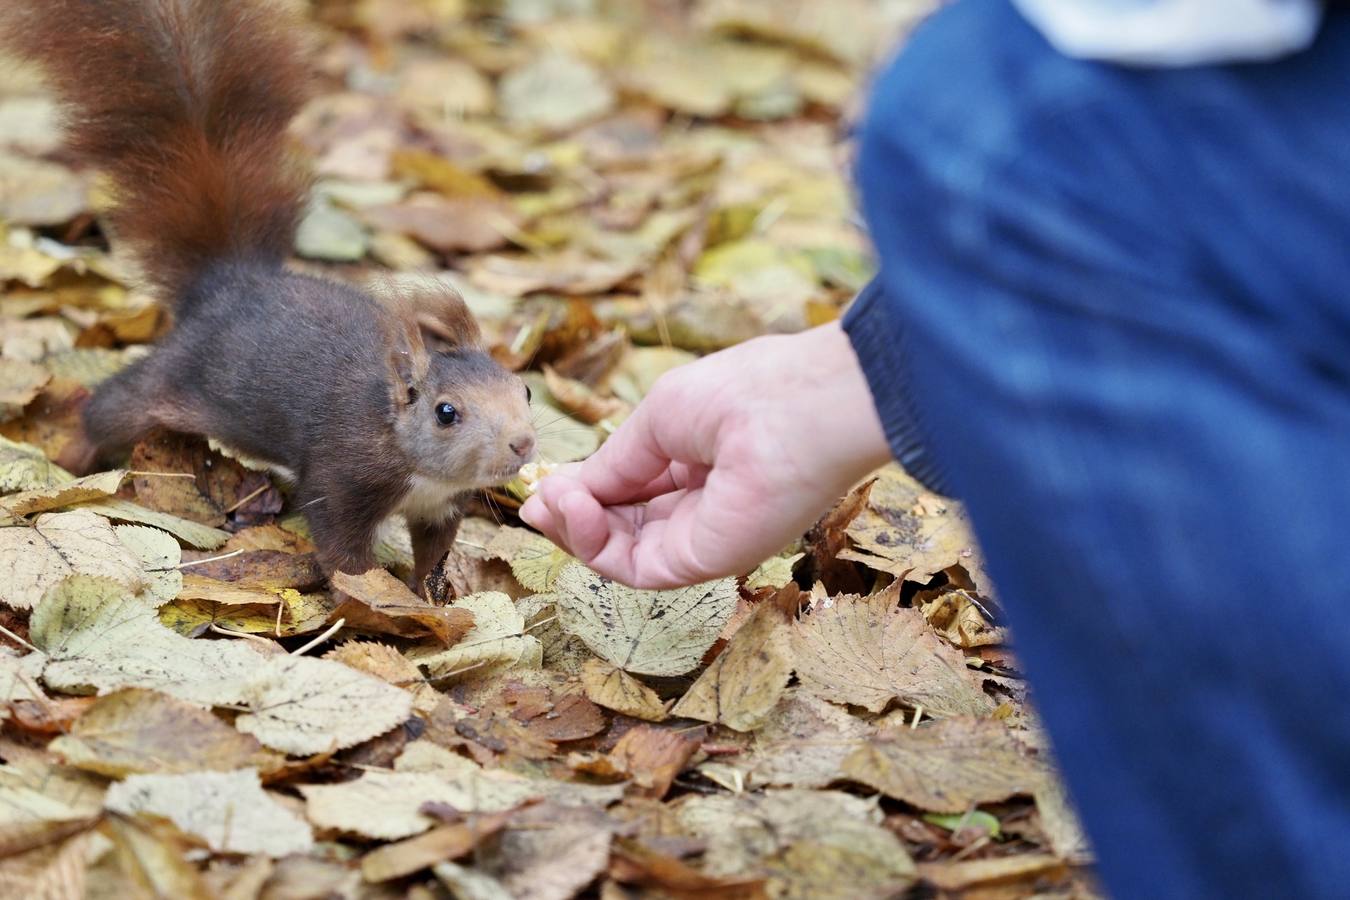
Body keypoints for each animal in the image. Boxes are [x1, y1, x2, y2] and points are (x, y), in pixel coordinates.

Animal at [1, 0, 537, 588]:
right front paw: (372, 594)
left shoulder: (441, 505)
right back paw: (71, 456)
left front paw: (430, 596)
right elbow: (343, 551)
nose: (523, 442)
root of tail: (228, 281)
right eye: (446, 413)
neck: (410, 454)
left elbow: (434, 555)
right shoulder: (342, 474)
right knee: (109, 407)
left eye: (526, 390)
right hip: (171, 376)